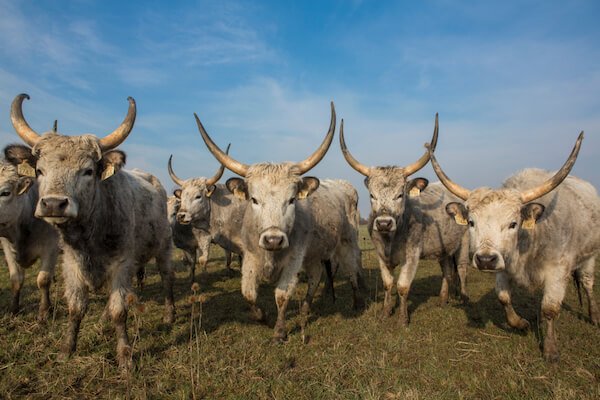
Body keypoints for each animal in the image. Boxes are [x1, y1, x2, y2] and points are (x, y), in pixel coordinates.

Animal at [0, 153, 59, 322]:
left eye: (5, 193)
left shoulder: (51, 247)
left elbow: (43, 280)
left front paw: (44, 312)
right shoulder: (7, 248)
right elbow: (16, 279)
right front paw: (14, 309)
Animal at [9, 93, 175, 368]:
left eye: (87, 171)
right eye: (40, 170)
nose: (53, 203)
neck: (89, 234)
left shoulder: (121, 264)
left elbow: (120, 310)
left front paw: (125, 356)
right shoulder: (71, 265)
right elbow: (76, 308)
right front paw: (67, 349)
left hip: (163, 248)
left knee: (166, 277)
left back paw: (169, 315)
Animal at [198, 103, 366, 340]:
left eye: (292, 199)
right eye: (254, 199)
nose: (273, 240)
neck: (271, 255)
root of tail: (342, 185)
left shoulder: (294, 260)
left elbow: (281, 295)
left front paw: (279, 331)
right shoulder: (250, 257)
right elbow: (248, 293)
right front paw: (264, 318)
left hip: (346, 241)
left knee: (351, 269)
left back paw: (357, 301)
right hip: (314, 254)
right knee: (315, 276)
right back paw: (306, 308)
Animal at [340, 116, 472, 324]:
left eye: (400, 194)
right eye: (372, 195)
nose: (384, 223)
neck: (390, 240)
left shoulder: (412, 256)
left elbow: (402, 286)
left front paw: (402, 318)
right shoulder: (380, 255)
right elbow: (387, 284)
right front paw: (385, 312)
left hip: (463, 243)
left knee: (462, 269)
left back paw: (464, 299)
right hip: (443, 248)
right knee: (447, 272)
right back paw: (443, 299)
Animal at [428, 132, 596, 362]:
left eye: (513, 224)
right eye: (471, 222)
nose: (485, 260)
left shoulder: (558, 270)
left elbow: (550, 308)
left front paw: (550, 350)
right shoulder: (503, 265)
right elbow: (503, 297)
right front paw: (521, 324)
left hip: (589, 257)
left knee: (587, 284)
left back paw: (594, 316)